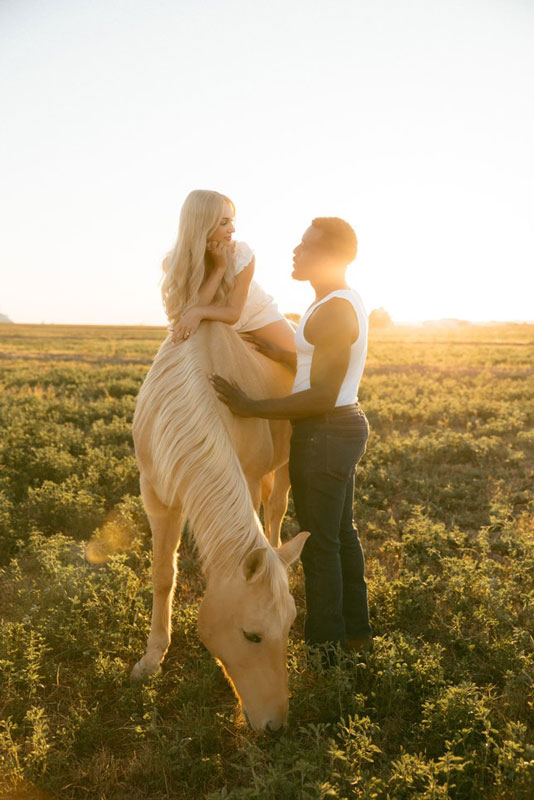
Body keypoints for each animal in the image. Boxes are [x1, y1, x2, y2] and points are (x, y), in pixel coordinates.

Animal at [130, 322, 309, 731]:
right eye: (252, 636)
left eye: (290, 627)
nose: (276, 725)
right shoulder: (157, 497)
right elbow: (163, 576)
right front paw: (152, 658)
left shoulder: (249, 478)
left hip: (286, 463)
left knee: (275, 511)